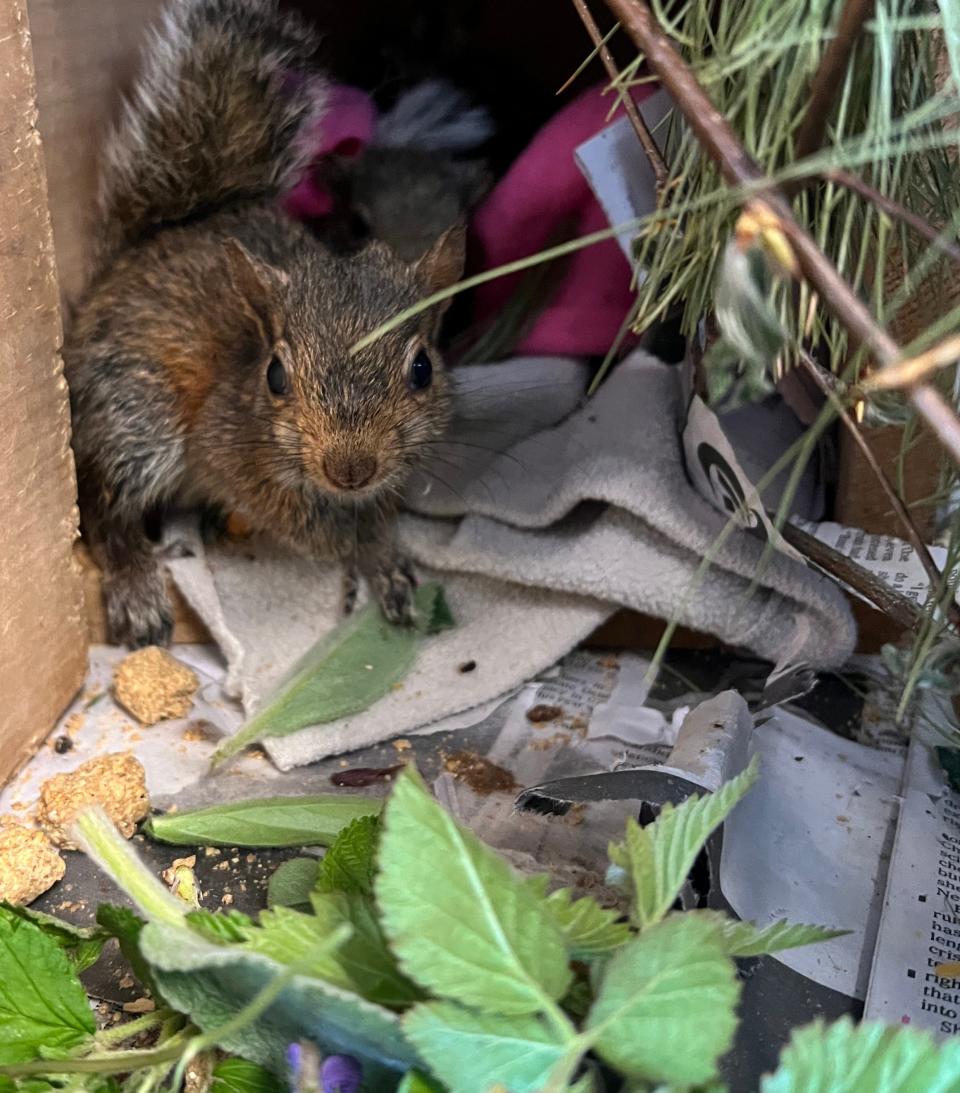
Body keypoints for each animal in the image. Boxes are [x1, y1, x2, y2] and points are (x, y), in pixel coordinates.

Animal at [65, 0, 472, 647]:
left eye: (423, 369)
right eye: (275, 376)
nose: (350, 469)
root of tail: (126, 262)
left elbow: (378, 514)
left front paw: (382, 557)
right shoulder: (225, 447)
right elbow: (302, 520)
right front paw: (354, 547)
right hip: (133, 413)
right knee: (104, 506)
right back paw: (136, 584)